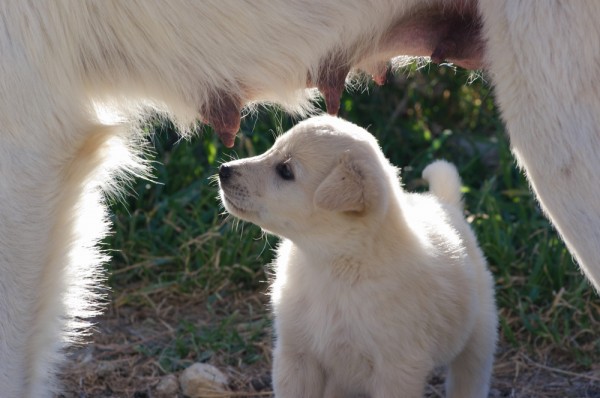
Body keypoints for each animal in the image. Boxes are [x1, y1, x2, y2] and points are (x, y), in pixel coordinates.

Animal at [218, 114, 500, 394]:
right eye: (272, 149)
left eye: (285, 170)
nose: (223, 170)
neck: (332, 266)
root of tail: (445, 204)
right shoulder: (295, 356)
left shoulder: (397, 370)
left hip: (479, 337)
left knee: (469, 378)